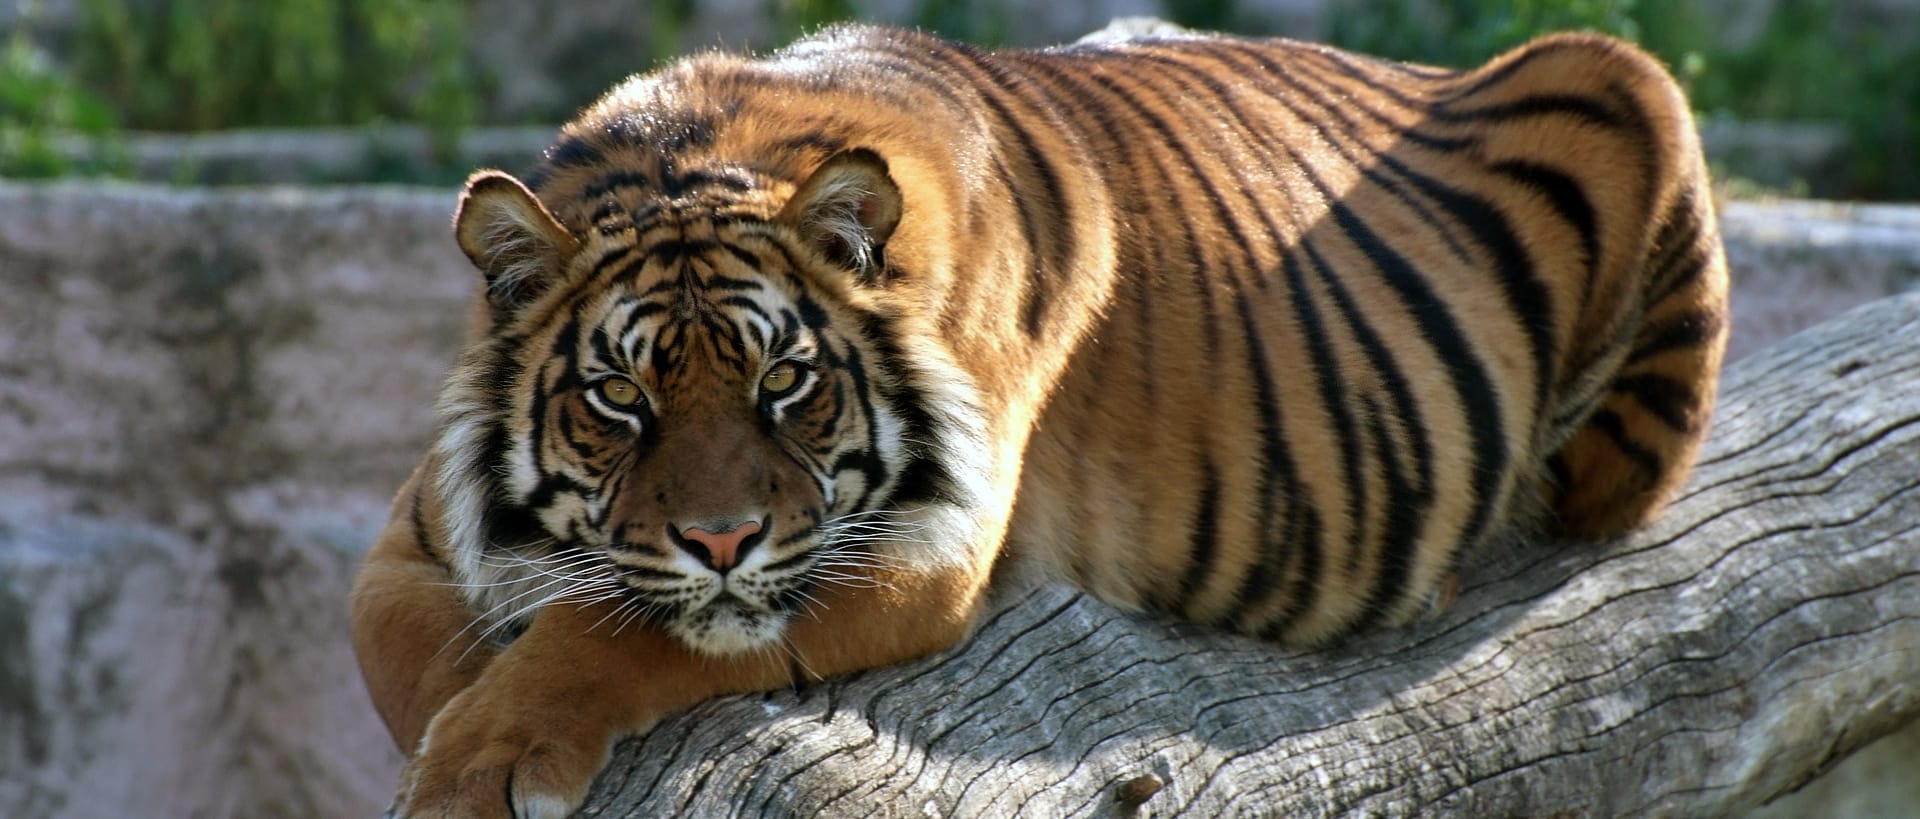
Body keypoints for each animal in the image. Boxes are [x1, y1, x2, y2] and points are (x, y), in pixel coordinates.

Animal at [350, 21, 1728, 817]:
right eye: (620, 398)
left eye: (784, 383)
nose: (722, 539)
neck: (693, 153)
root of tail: (1421, 68)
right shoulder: (418, 528)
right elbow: (399, 646)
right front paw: (457, 725)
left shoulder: (916, 551)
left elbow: (616, 630)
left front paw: (486, 759)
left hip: (1626, 92)